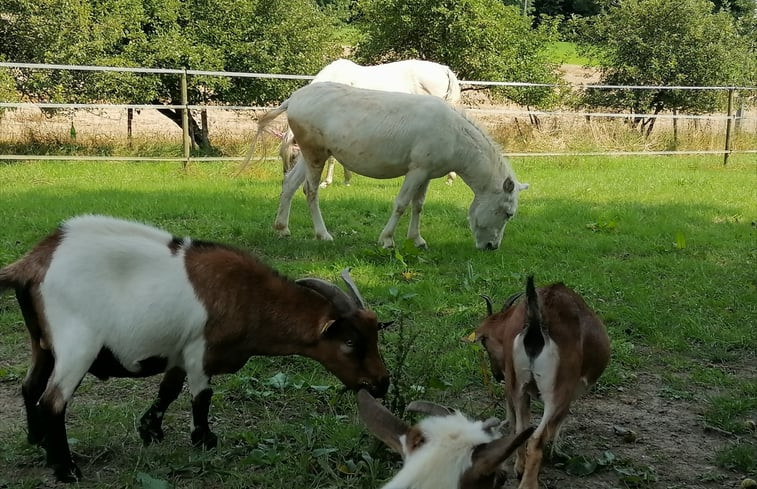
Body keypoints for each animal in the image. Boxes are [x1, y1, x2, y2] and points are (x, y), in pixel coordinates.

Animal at [0, 215, 390, 482]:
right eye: (350, 342)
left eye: (375, 335)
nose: (382, 383)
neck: (249, 296)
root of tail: (35, 261)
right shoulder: (200, 351)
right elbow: (201, 397)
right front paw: (205, 440)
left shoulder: (178, 349)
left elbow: (168, 389)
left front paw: (151, 431)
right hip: (77, 344)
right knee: (52, 402)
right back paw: (66, 469)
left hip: (42, 342)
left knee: (30, 387)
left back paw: (38, 442)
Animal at [244, 82, 524, 250]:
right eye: (508, 214)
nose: (492, 247)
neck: (454, 134)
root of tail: (293, 99)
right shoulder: (416, 171)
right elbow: (401, 204)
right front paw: (387, 240)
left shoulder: (427, 174)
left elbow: (418, 205)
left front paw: (417, 239)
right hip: (315, 154)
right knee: (310, 191)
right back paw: (323, 234)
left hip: (309, 154)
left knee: (289, 184)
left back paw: (282, 228)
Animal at [278, 57, 458, 187]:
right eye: (281, 156)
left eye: (293, 156)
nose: (284, 178)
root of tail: (443, 69)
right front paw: (347, 179)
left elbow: (332, 158)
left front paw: (327, 182)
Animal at [476, 276, 612, 488]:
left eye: (485, 342)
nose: (497, 375)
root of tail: (536, 321)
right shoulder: (567, 395)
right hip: (556, 393)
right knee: (536, 439)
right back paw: (529, 483)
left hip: (518, 386)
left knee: (521, 430)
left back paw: (520, 469)